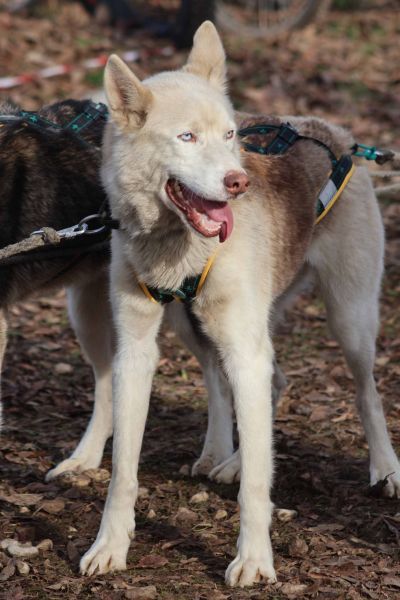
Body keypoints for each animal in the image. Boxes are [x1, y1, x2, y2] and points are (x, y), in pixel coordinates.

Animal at [76, 21, 400, 587]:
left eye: (230, 136)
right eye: (186, 137)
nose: (238, 182)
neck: (178, 244)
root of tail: (335, 131)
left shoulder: (247, 351)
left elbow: (256, 487)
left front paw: (254, 559)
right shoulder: (136, 352)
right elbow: (123, 470)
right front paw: (111, 545)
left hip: (348, 320)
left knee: (366, 394)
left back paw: (384, 467)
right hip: (201, 328)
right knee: (263, 384)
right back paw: (226, 458)